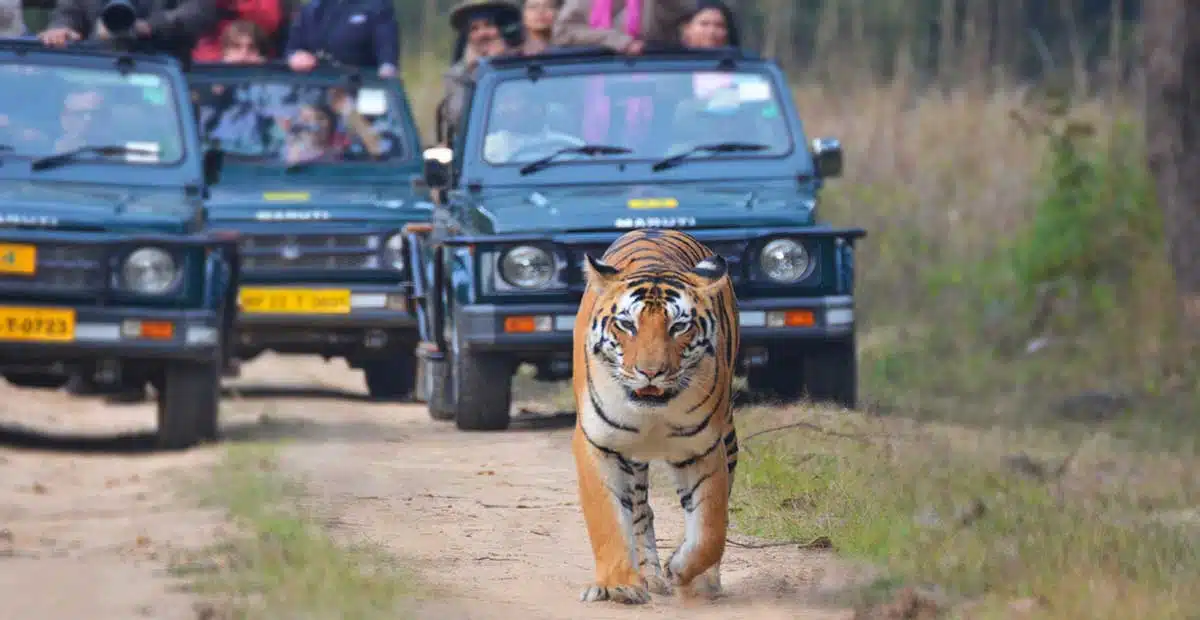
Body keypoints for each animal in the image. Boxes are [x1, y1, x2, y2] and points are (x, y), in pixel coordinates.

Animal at [571, 228, 741, 605]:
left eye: (679, 327)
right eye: (626, 325)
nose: (650, 372)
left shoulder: (704, 448)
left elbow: (711, 527)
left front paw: (684, 570)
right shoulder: (598, 443)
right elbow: (607, 519)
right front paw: (619, 585)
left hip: (728, 437)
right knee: (640, 510)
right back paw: (647, 574)